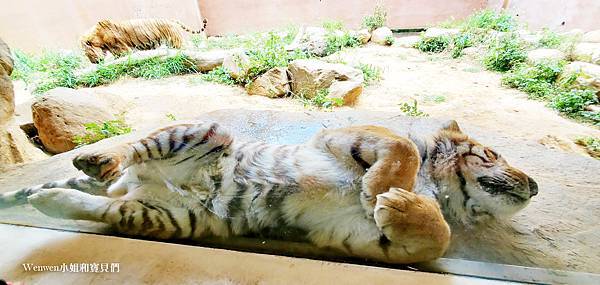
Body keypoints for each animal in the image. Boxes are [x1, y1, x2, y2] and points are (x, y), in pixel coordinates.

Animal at [0, 118, 536, 262]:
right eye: (492, 154)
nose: (534, 184)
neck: (441, 191)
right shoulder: (341, 136)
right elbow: (402, 147)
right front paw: (385, 188)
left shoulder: (350, 235)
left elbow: (436, 240)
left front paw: (398, 206)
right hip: (204, 131)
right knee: (129, 151)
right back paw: (95, 159)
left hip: (172, 218)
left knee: (102, 205)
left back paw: (47, 199)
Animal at [79, 18, 207, 63]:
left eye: (87, 54)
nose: (93, 63)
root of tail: (172, 20)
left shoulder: (118, 45)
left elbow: (122, 53)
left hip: (175, 41)